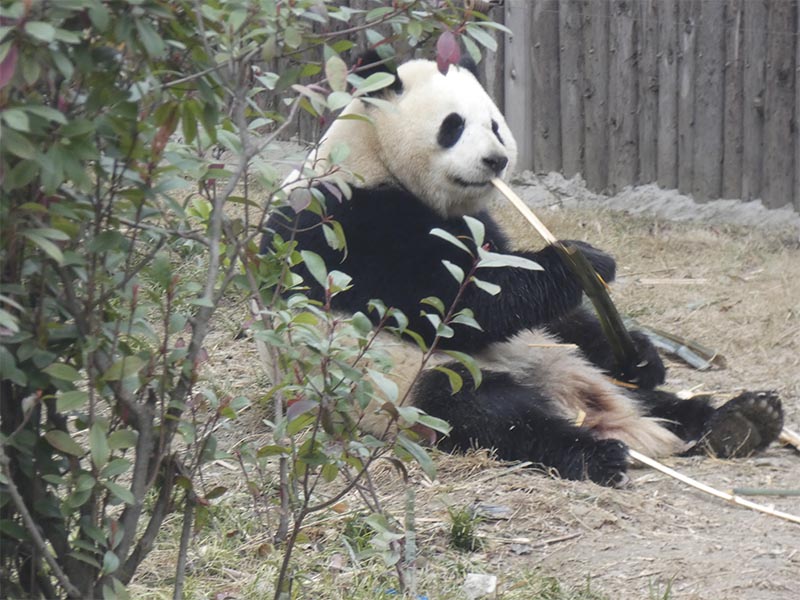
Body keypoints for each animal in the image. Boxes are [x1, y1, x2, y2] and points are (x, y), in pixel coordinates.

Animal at [260, 54, 780, 486]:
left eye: (494, 124)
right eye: (453, 126)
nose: (496, 159)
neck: (372, 156)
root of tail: (583, 404)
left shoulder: (479, 225)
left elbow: (547, 311)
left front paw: (640, 355)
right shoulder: (347, 225)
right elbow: (452, 306)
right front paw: (581, 260)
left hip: (569, 362)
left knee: (649, 399)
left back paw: (741, 419)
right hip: (401, 387)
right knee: (490, 413)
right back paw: (596, 454)